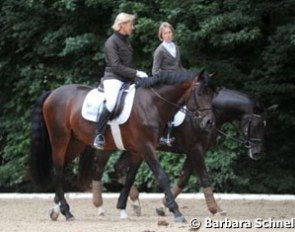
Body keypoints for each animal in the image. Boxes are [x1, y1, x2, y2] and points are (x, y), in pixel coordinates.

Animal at [29, 70, 215, 221]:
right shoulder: (147, 146)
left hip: (75, 143)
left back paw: (57, 210)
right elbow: (161, 176)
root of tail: (53, 92)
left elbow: (130, 176)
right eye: (200, 93)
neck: (152, 103)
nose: (209, 123)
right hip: (60, 139)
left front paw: (122, 208)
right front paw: (176, 212)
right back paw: (66, 212)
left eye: (212, 95)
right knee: (58, 170)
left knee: (59, 171)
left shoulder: (138, 151)